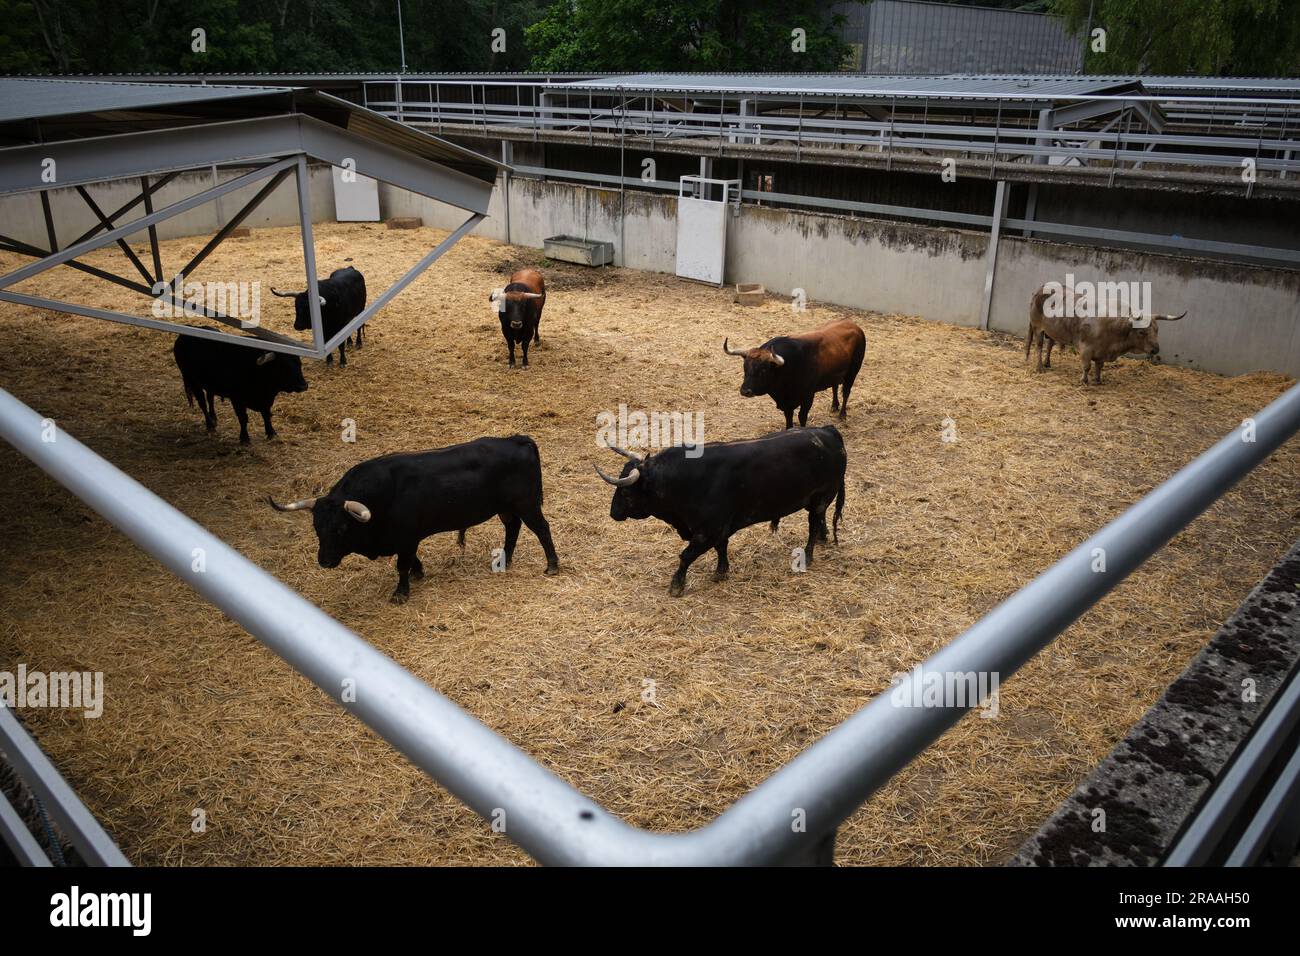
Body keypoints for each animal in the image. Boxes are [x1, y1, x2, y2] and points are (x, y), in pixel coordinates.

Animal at [269, 434, 559, 600]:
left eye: (341, 528)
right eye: (316, 527)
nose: (325, 561)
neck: (382, 495)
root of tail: (516, 439)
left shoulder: (407, 537)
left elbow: (401, 565)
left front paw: (401, 592)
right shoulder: (405, 540)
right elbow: (410, 560)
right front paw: (419, 572)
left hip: (527, 504)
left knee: (542, 529)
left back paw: (552, 566)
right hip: (507, 508)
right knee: (513, 528)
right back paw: (504, 560)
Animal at [595, 429, 847, 598]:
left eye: (625, 492)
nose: (613, 513)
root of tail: (828, 431)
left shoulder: (708, 530)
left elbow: (686, 556)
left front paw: (676, 585)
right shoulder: (718, 529)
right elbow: (721, 548)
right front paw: (721, 572)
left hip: (821, 498)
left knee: (813, 524)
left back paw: (809, 554)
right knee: (820, 521)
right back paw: (823, 538)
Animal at [728, 319, 868, 429]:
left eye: (763, 371)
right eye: (745, 368)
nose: (745, 391)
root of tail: (855, 326)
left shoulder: (808, 396)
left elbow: (802, 416)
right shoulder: (786, 402)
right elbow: (789, 416)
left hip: (852, 372)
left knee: (846, 392)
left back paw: (842, 414)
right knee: (835, 386)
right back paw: (834, 406)